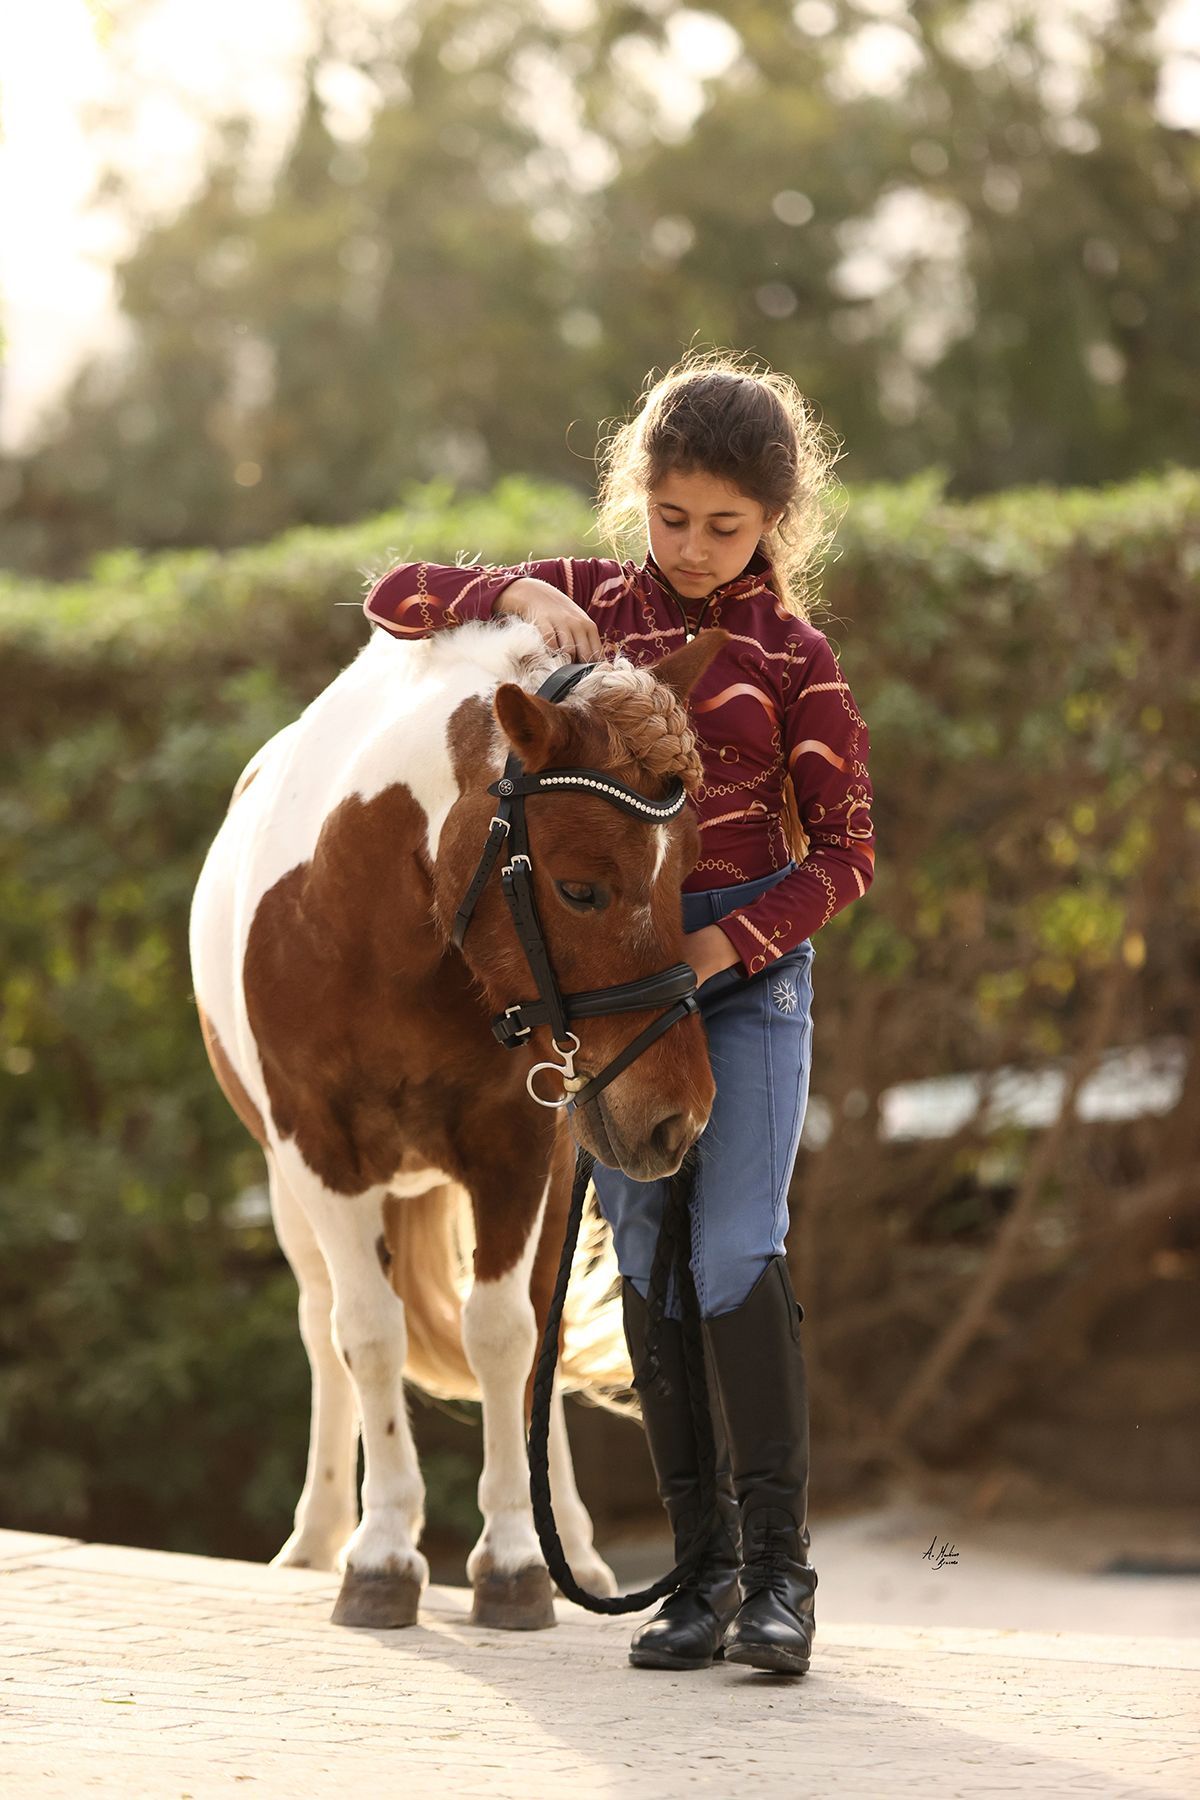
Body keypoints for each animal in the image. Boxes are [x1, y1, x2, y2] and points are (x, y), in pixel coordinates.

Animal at [188, 605, 729, 1630]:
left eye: (686, 876)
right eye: (580, 887)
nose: (676, 1117)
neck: (378, 935)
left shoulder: (515, 1151)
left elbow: (503, 1337)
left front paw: (516, 1557)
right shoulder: (318, 1157)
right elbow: (368, 1336)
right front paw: (380, 1553)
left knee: (534, 1337)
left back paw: (575, 1549)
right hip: (291, 1194)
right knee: (322, 1324)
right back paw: (318, 1535)